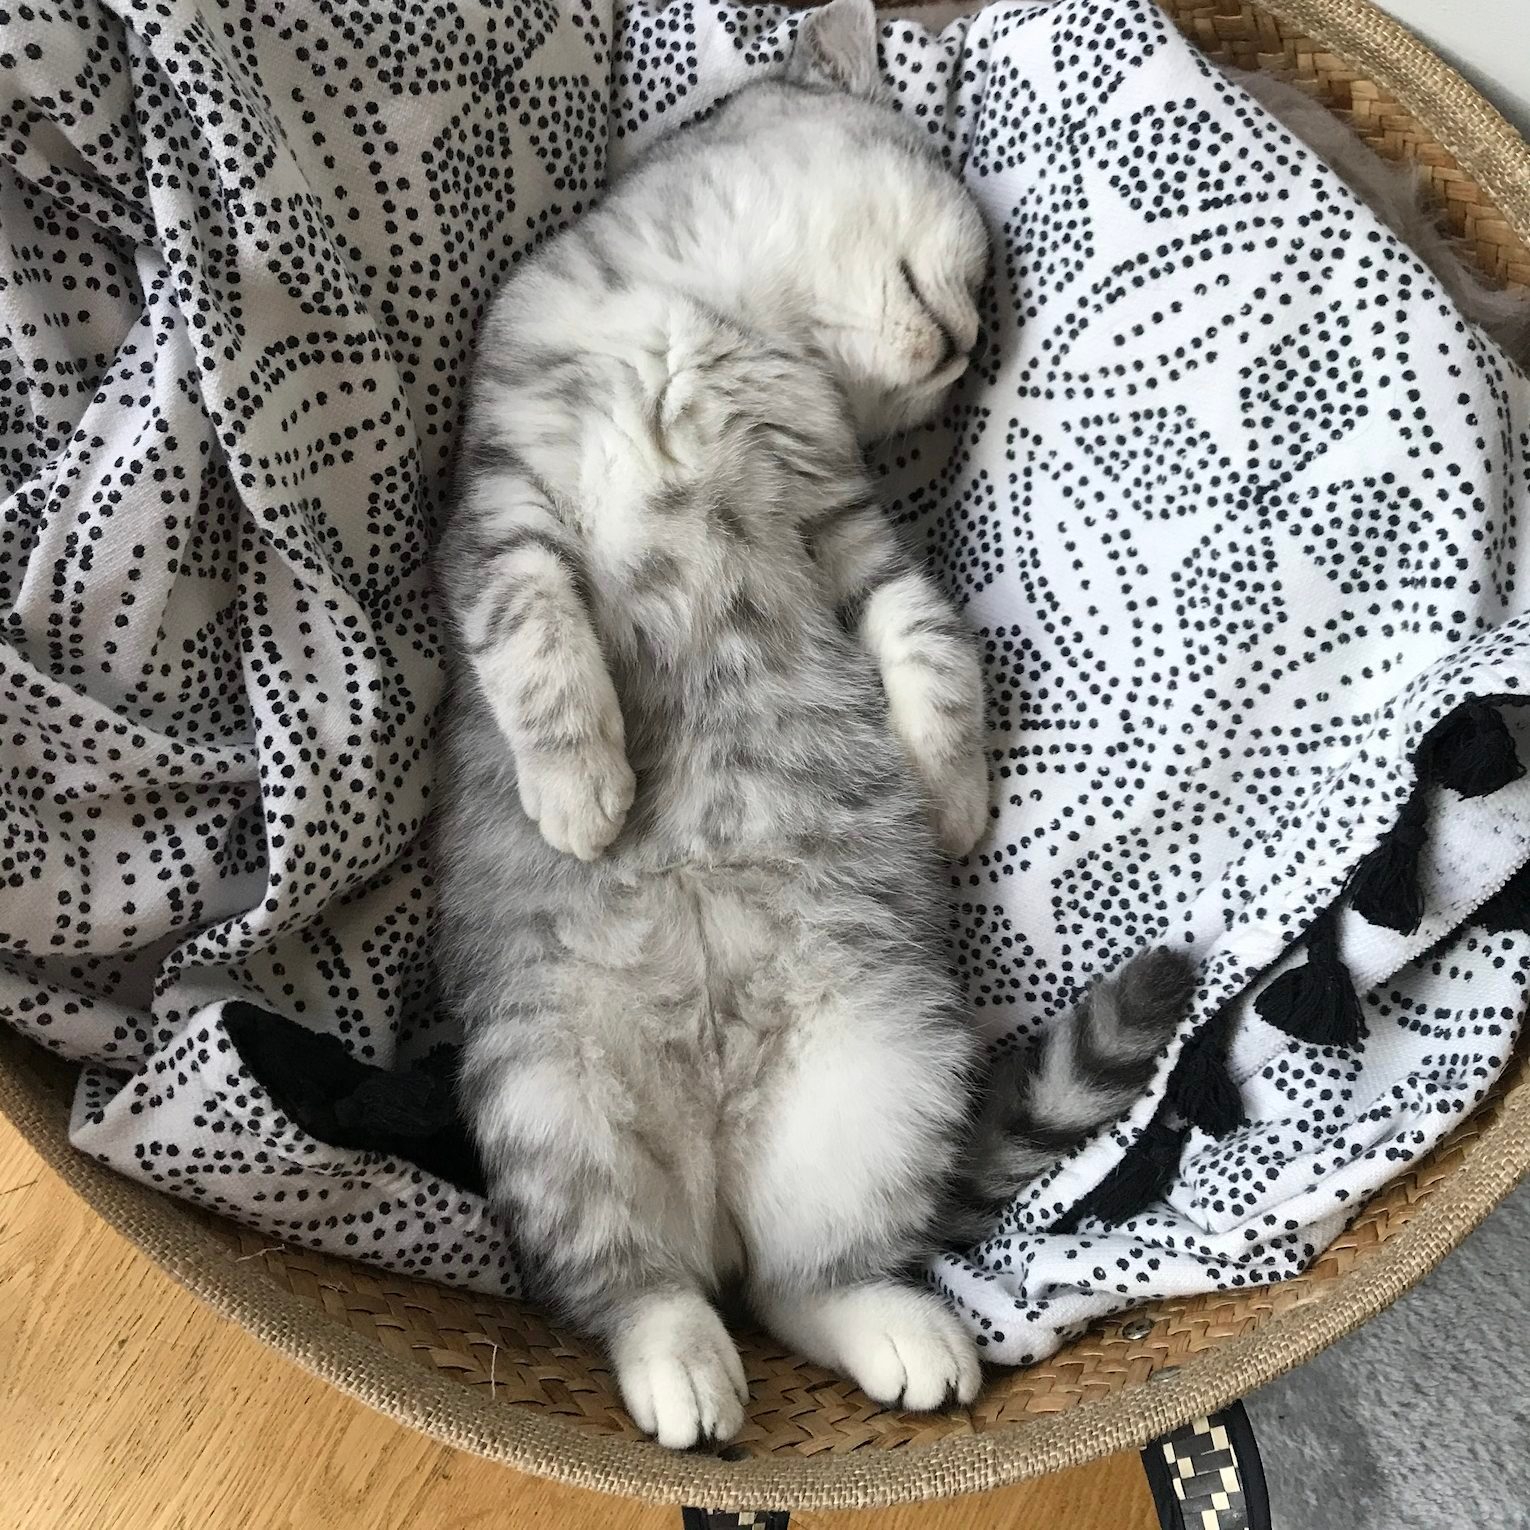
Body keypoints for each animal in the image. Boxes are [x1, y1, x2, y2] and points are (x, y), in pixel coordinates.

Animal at [434, 0, 1193, 1444]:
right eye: (973, 271)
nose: (968, 340)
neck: (711, 318)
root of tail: (718, 1144)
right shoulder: (505, 504)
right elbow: (539, 644)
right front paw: (581, 793)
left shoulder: (851, 535)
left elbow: (935, 647)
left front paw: (950, 796)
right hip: (552, 1099)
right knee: (643, 1283)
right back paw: (683, 1369)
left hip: (880, 1073)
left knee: (794, 1280)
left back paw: (895, 1337)